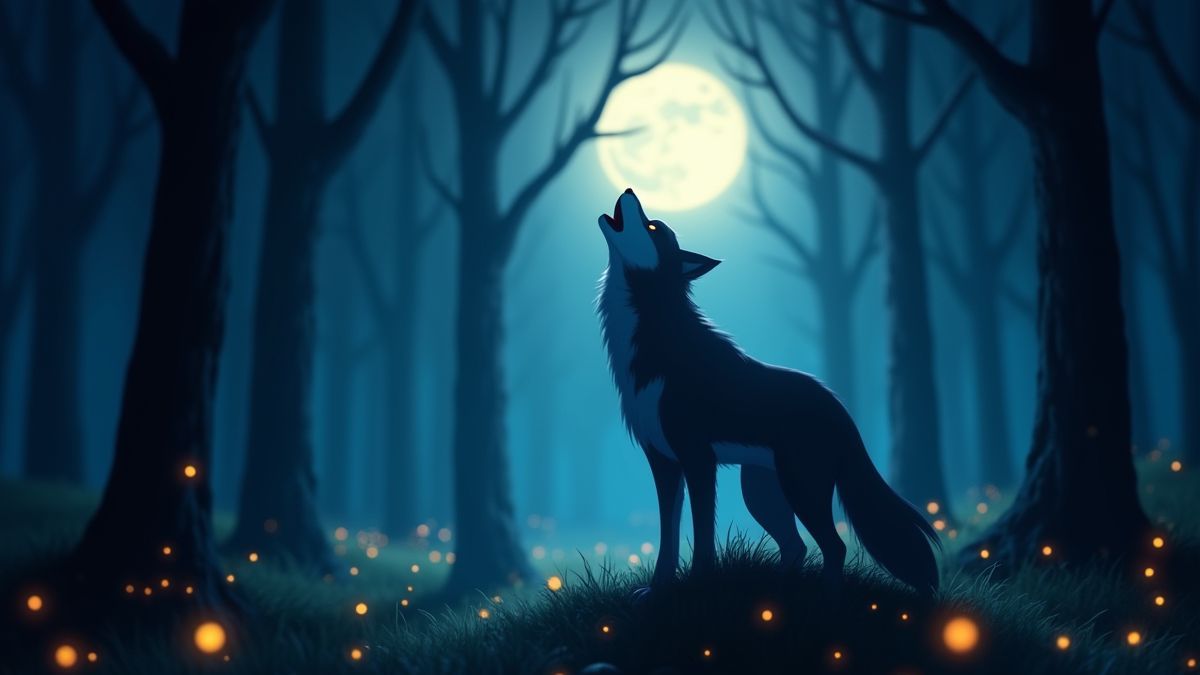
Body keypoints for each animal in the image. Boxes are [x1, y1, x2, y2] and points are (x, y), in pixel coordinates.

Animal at [595, 189, 939, 598]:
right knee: (796, 546)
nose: (630, 190)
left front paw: (697, 587)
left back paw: (825, 596)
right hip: (761, 492)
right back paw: (775, 594)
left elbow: (702, 535)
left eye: (652, 227)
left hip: (800, 489)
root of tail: (841, 409)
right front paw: (658, 590)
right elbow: (668, 536)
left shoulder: (698, 461)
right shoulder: (663, 462)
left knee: (833, 546)